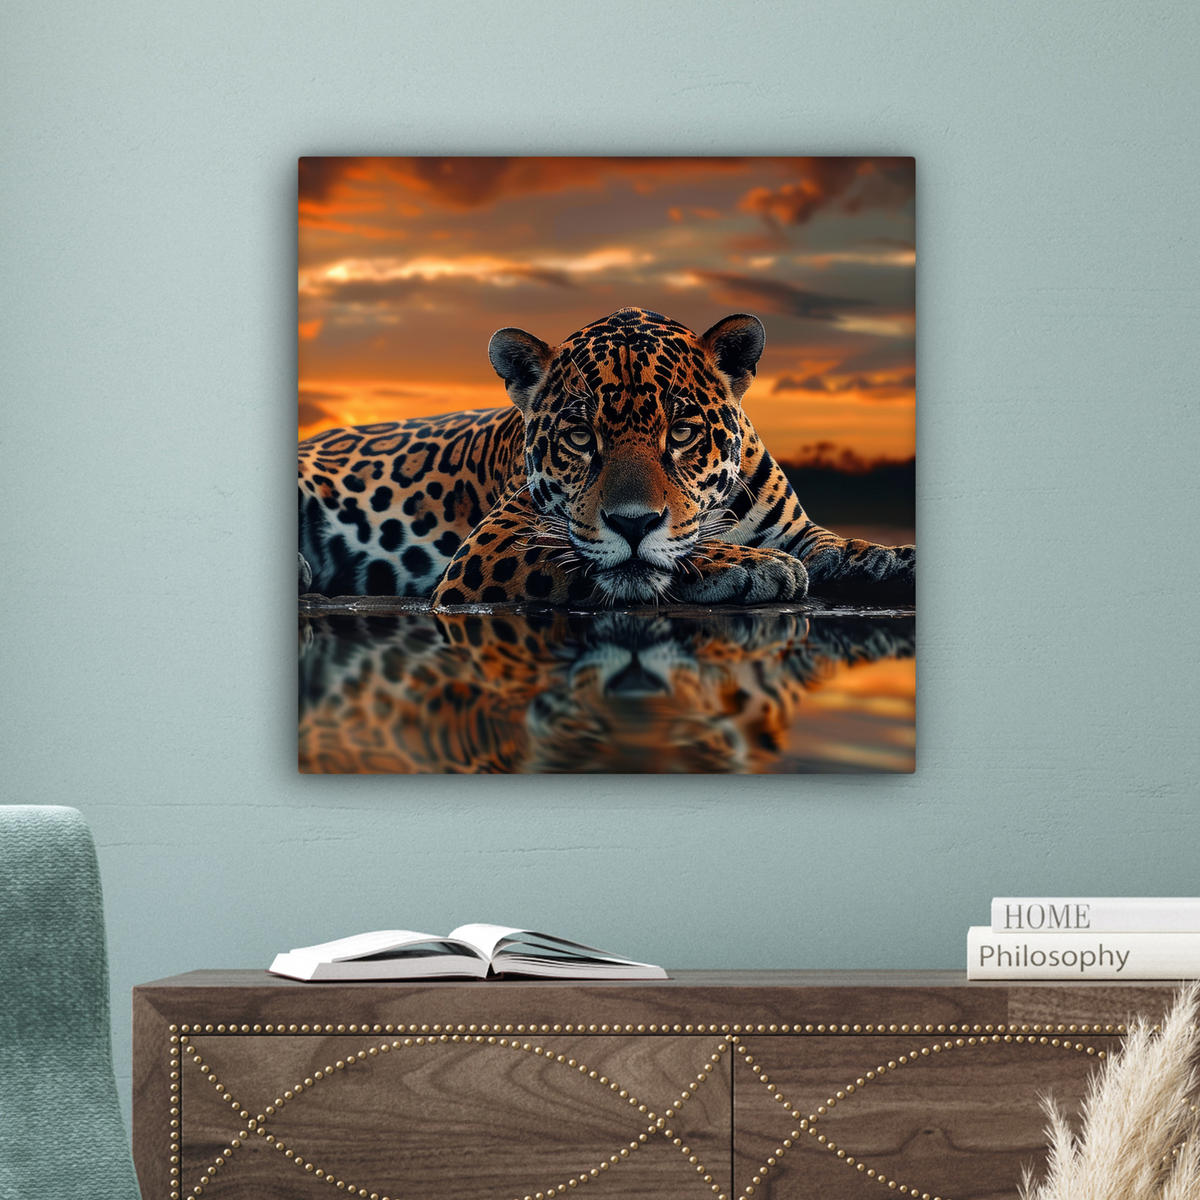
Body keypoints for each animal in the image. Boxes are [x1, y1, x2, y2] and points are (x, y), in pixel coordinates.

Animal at [298, 307, 914, 607]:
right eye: (579, 437)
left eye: (682, 431)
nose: (633, 524)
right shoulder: (491, 547)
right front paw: (754, 566)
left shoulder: (797, 530)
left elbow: (839, 544)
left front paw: (893, 559)